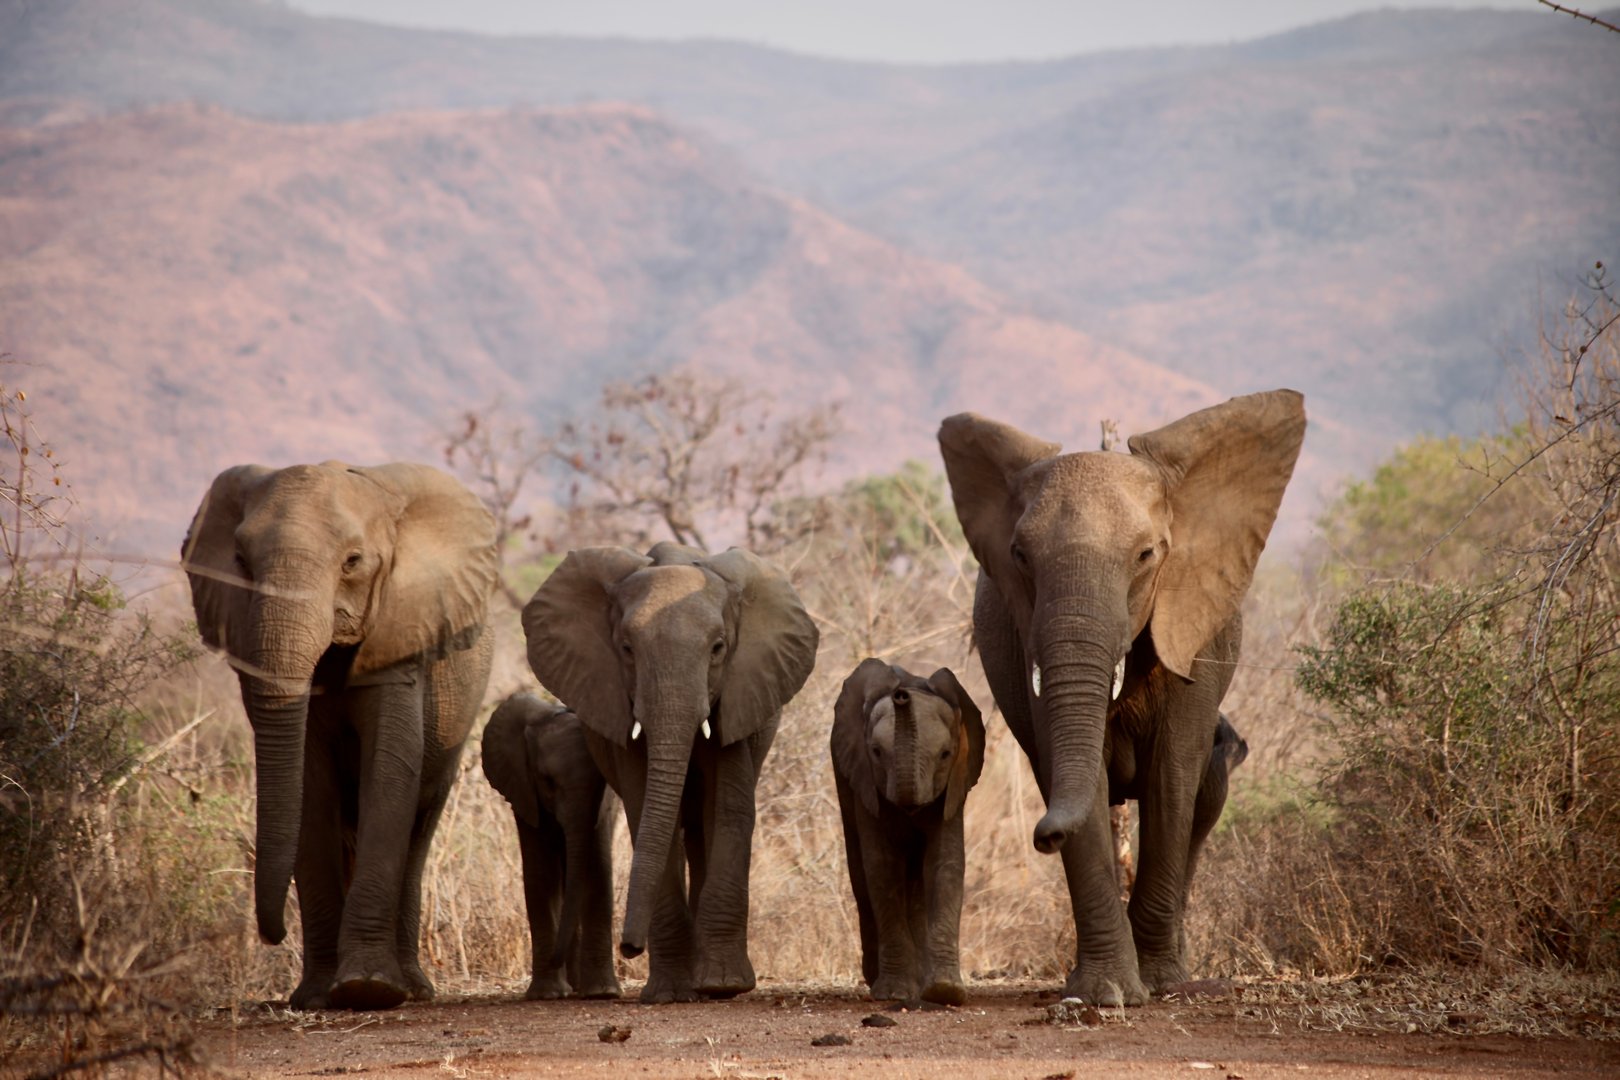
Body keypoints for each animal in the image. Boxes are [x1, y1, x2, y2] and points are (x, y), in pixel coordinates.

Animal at [181, 461, 498, 1011]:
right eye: (240, 562)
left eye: (352, 562)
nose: (272, 935)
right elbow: (310, 785)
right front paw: (315, 997)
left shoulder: (400, 633)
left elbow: (390, 774)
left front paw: (367, 988)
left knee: (419, 825)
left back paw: (414, 990)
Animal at [481, 692, 622, 1001]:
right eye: (547, 781)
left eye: (601, 783)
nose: (556, 959)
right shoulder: (523, 790)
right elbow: (541, 873)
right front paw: (548, 994)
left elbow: (598, 871)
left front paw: (602, 994)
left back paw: (579, 986)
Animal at [522, 541, 819, 1003]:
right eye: (627, 649)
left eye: (718, 648)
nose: (628, 947)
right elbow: (644, 807)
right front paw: (671, 994)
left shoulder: (739, 691)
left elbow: (730, 808)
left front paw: (724, 985)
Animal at [830, 659, 985, 1006]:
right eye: (875, 751)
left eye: (945, 754)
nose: (902, 695)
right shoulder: (865, 782)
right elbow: (883, 867)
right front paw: (894, 993)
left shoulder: (954, 786)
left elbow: (945, 863)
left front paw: (944, 991)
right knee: (860, 872)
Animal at [938, 389, 1304, 1005]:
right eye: (1019, 557)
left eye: (1145, 556)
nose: (1042, 836)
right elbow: (1069, 769)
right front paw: (1105, 992)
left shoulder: (1194, 633)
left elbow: (1172, 777)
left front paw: (1159, 985)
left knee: (1205, 793)